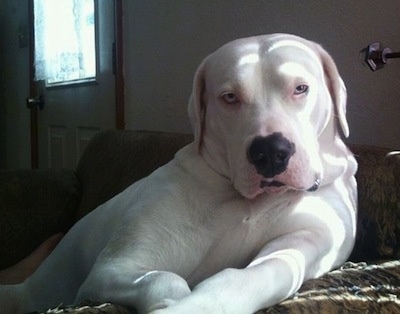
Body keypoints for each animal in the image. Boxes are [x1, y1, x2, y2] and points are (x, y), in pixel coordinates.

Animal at [0, 33, 356, 312]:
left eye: (301, 88)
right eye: (229, 97)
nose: (269, 152)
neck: (242, 200)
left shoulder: (302, 244)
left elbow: (251, 276)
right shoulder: (115, 268)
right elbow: (164, 279)